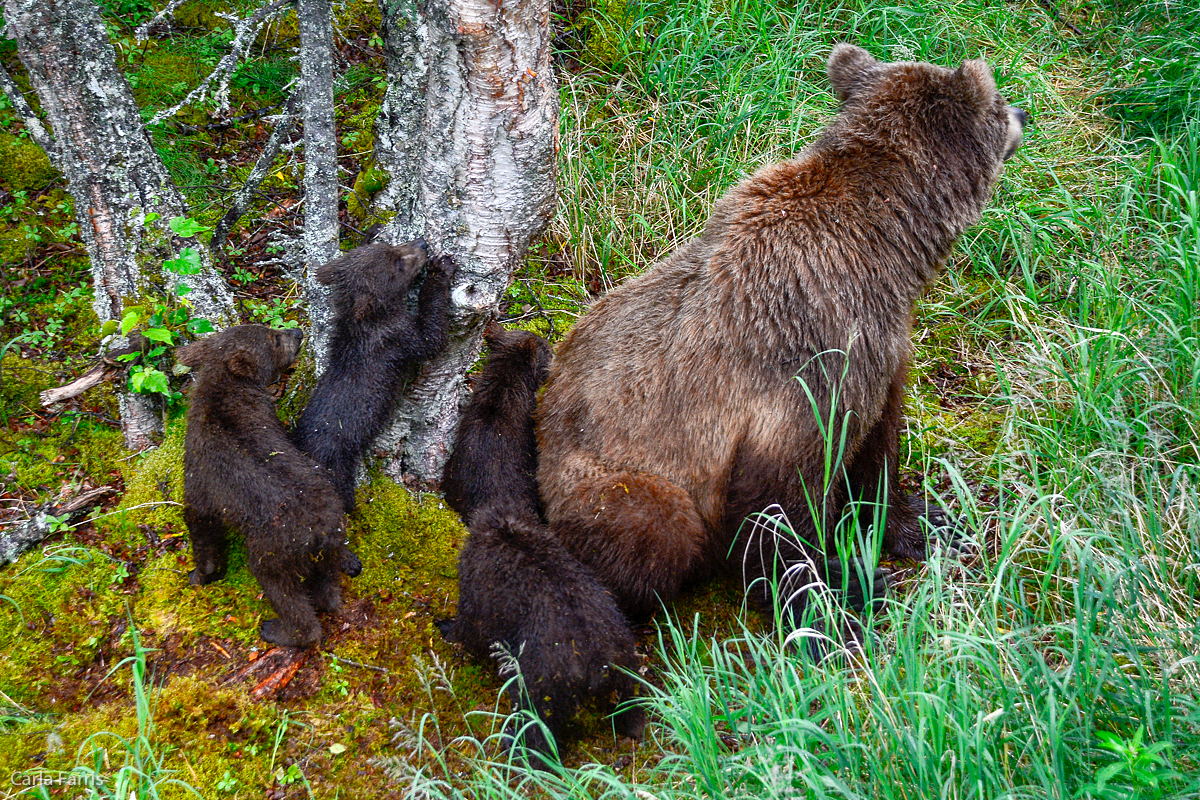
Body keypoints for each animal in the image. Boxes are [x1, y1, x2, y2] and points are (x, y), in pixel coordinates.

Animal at [175, 326, 357, 652]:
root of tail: (321, 530)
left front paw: (200, 573)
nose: (297, 332)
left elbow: (201, 520)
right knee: (326, 587)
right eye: (273, 337)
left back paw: (278, 630)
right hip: (328, 546)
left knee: (282, 591)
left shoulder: (201, 470)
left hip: (274, 550)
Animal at [294, 239, 453, 513]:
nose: (422, 243)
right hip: (336, 462)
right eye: (398, 264)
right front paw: (440, 270)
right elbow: (431, 337)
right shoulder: (396, 337)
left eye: (391, 245)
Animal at [439, 323, 643, 762]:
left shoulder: (481, 582)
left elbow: (472, 622)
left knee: (538, 717)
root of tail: (597, 663)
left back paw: (517, 750)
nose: (551, 342)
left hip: (545, 675)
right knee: (631, 700)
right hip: (623, 652)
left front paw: (446, 625)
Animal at [540, 42, 1027, 642]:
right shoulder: (805, 362)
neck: (888, 253)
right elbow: (778, 500)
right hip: (610, 476)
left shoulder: (882, 350)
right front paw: (834, 592)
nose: (1023, 113)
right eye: (999, 98)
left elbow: (876, 448)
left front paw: (922, 522)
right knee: (655, 526)